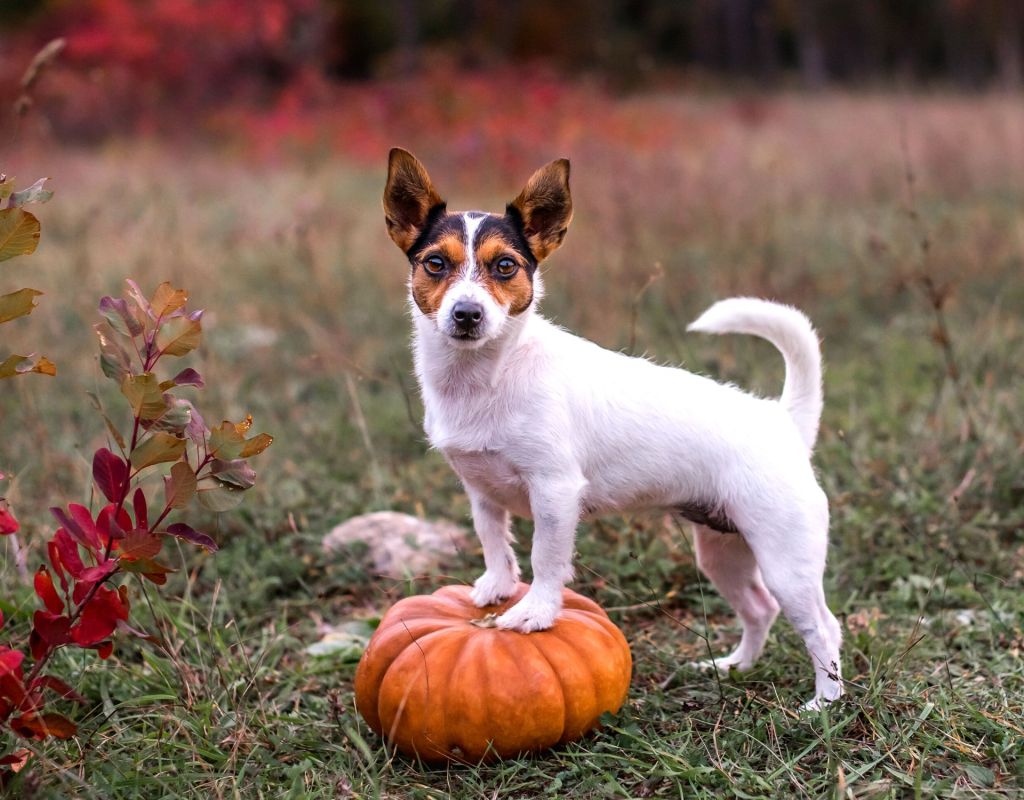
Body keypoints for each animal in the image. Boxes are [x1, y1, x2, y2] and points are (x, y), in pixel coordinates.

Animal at [380, 146, 843, 708]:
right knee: (759, 608)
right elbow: (494, 540)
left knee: (823, 626)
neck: (487, 375)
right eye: (436, 264)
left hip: (785, 560)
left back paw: (824, 703)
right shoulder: (480, 490)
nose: (467, 314)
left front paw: (535, 612)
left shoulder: (555, 492)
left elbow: (545, 558)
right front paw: (497, 587)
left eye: (505, 266)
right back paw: (734, 668)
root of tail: (783, 419)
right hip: (722, 551)